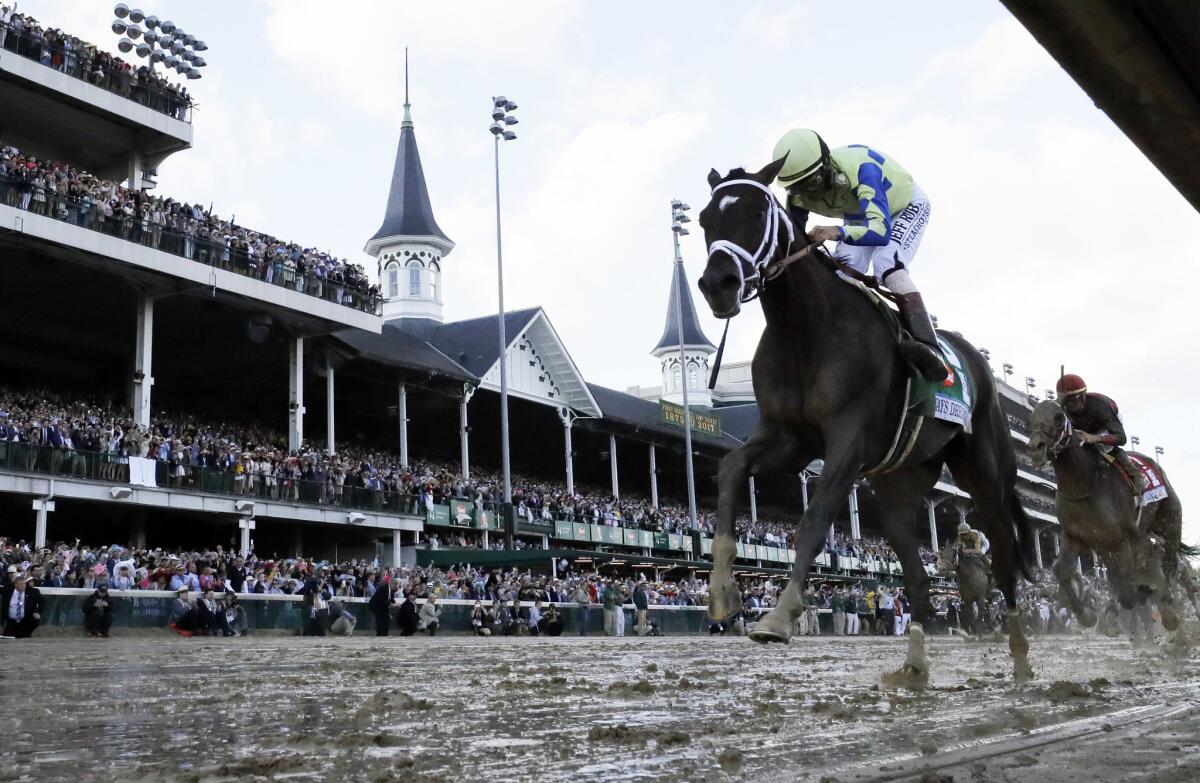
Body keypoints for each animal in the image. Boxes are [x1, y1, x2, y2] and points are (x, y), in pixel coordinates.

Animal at [700, 162, 1036, 682]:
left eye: (757, 212)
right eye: (702, 220)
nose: (718, 283)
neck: (806, 330)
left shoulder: (847, 440)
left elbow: (815, 518)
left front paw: (780, 615)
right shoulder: (788, 438)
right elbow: (732, 467)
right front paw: (722, 592)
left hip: (983, 469)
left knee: (1000, 553)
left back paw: (1019, 657)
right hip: (900, 483)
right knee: (916, 576)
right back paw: (914, 666)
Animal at [1022, 401, 1190, 634]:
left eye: (1058, 417)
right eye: (1030, 419)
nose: (1036, 448)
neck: (1083, 486)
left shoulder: (1127, 538)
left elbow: (1139, 576)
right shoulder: (1079, 537)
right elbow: (1060, 568)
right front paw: (1087, 615)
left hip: (1169, 523)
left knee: (1167, 564)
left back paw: (1168, 602)